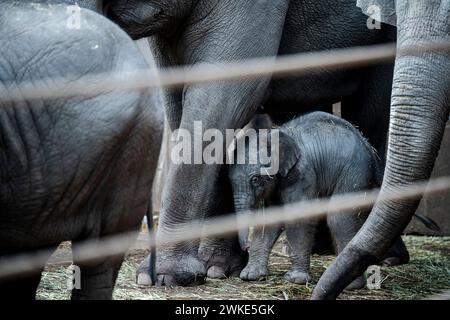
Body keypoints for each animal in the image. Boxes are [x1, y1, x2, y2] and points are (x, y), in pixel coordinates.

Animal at [229, 111, 384, 288]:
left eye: (255, 179)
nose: (245, 247)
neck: (274, 134)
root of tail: (369, 148)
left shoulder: (301, 174)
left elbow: (298, 218)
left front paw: (295, 279)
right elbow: (270, 219)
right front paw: (250, 275)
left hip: (354, 173)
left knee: (340, 219)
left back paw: (351, 285)